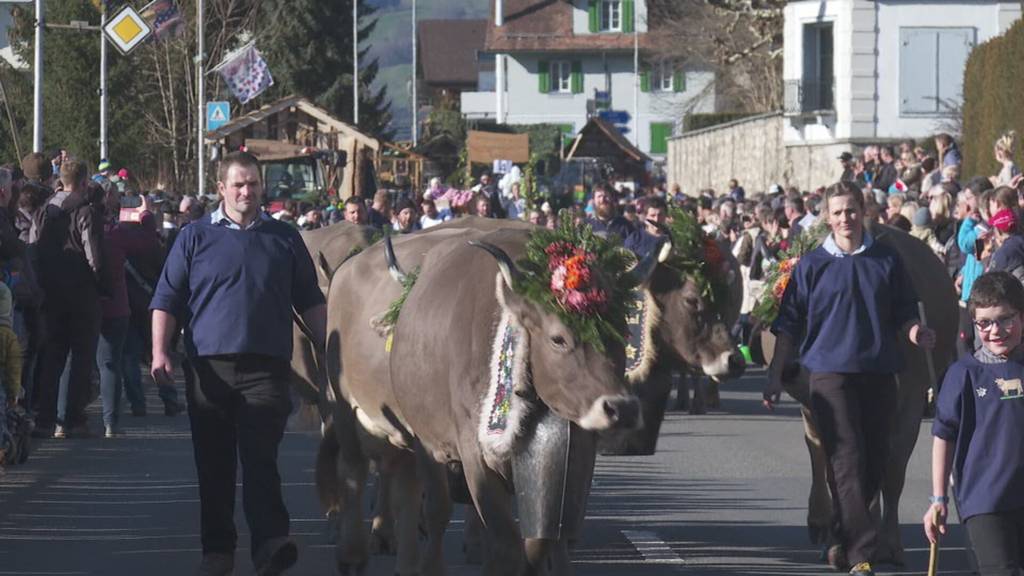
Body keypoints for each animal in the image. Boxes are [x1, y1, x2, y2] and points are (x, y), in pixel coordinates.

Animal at [315, 226, 643, 569]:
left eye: (622, 331)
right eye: (558, 339)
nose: (622, 409)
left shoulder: (570, 457)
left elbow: (541, 539)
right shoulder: (470, 451)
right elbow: (502, 539)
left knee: (405, 491)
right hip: (359, 414)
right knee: (362, 476)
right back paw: (353, 553)